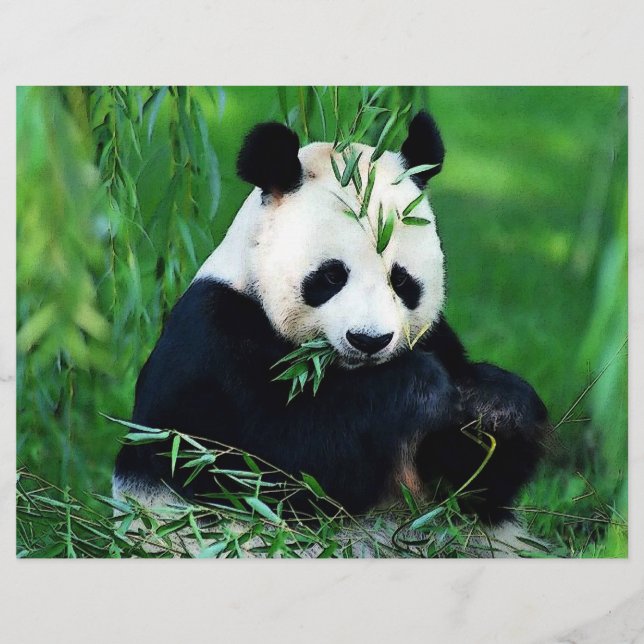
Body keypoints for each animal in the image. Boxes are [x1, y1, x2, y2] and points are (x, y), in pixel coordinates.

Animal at [113, 111, 549, 555]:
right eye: (331, 276)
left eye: (401, 281)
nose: (369, 340)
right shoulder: (210, 344)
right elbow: (274, 462)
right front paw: (417, 386)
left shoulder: (435, 337)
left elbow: (472, 485)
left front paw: (494, 406)